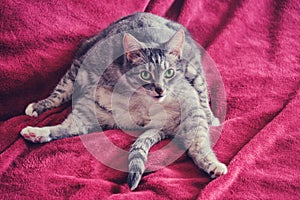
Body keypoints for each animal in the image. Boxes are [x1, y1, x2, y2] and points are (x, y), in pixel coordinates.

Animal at [20, 11, 227, 190]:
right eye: (145, 74)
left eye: (169, 73)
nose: (160, 90)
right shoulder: (81, 67)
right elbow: (60, 91)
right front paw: (40, 106)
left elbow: (201, 93)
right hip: (93, 109)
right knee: (71, 125)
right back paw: (37, 132)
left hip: (192, 100)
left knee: (199, 140)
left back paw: (213, 162)